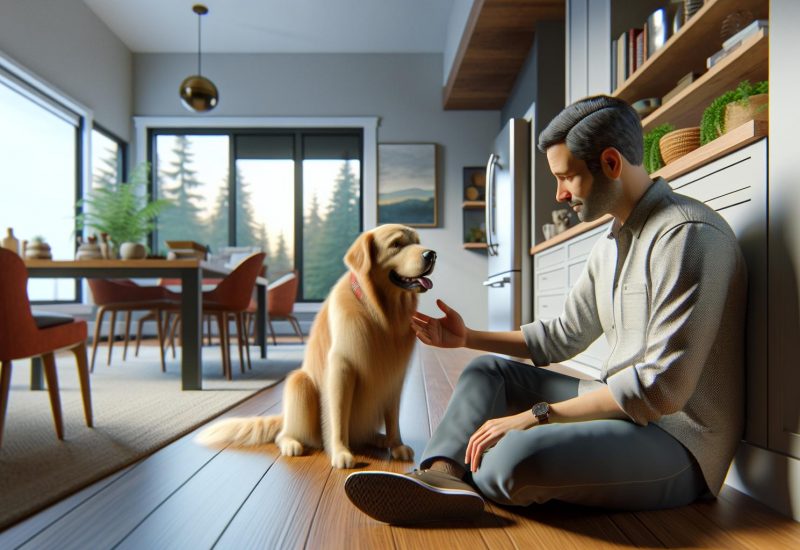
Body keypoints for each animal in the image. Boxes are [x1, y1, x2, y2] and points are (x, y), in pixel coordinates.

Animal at [199, 224, 438, 470]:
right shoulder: (342, 368)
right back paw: (291, 443)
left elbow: (393, 417)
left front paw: (396, 445)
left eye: (417, 242)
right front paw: (340, 452)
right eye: (396, 244)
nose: (431, 255)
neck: (380, 314)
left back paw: (380, 440)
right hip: (300, 383)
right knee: (284, 433)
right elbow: (338, 416)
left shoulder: (394, 375)